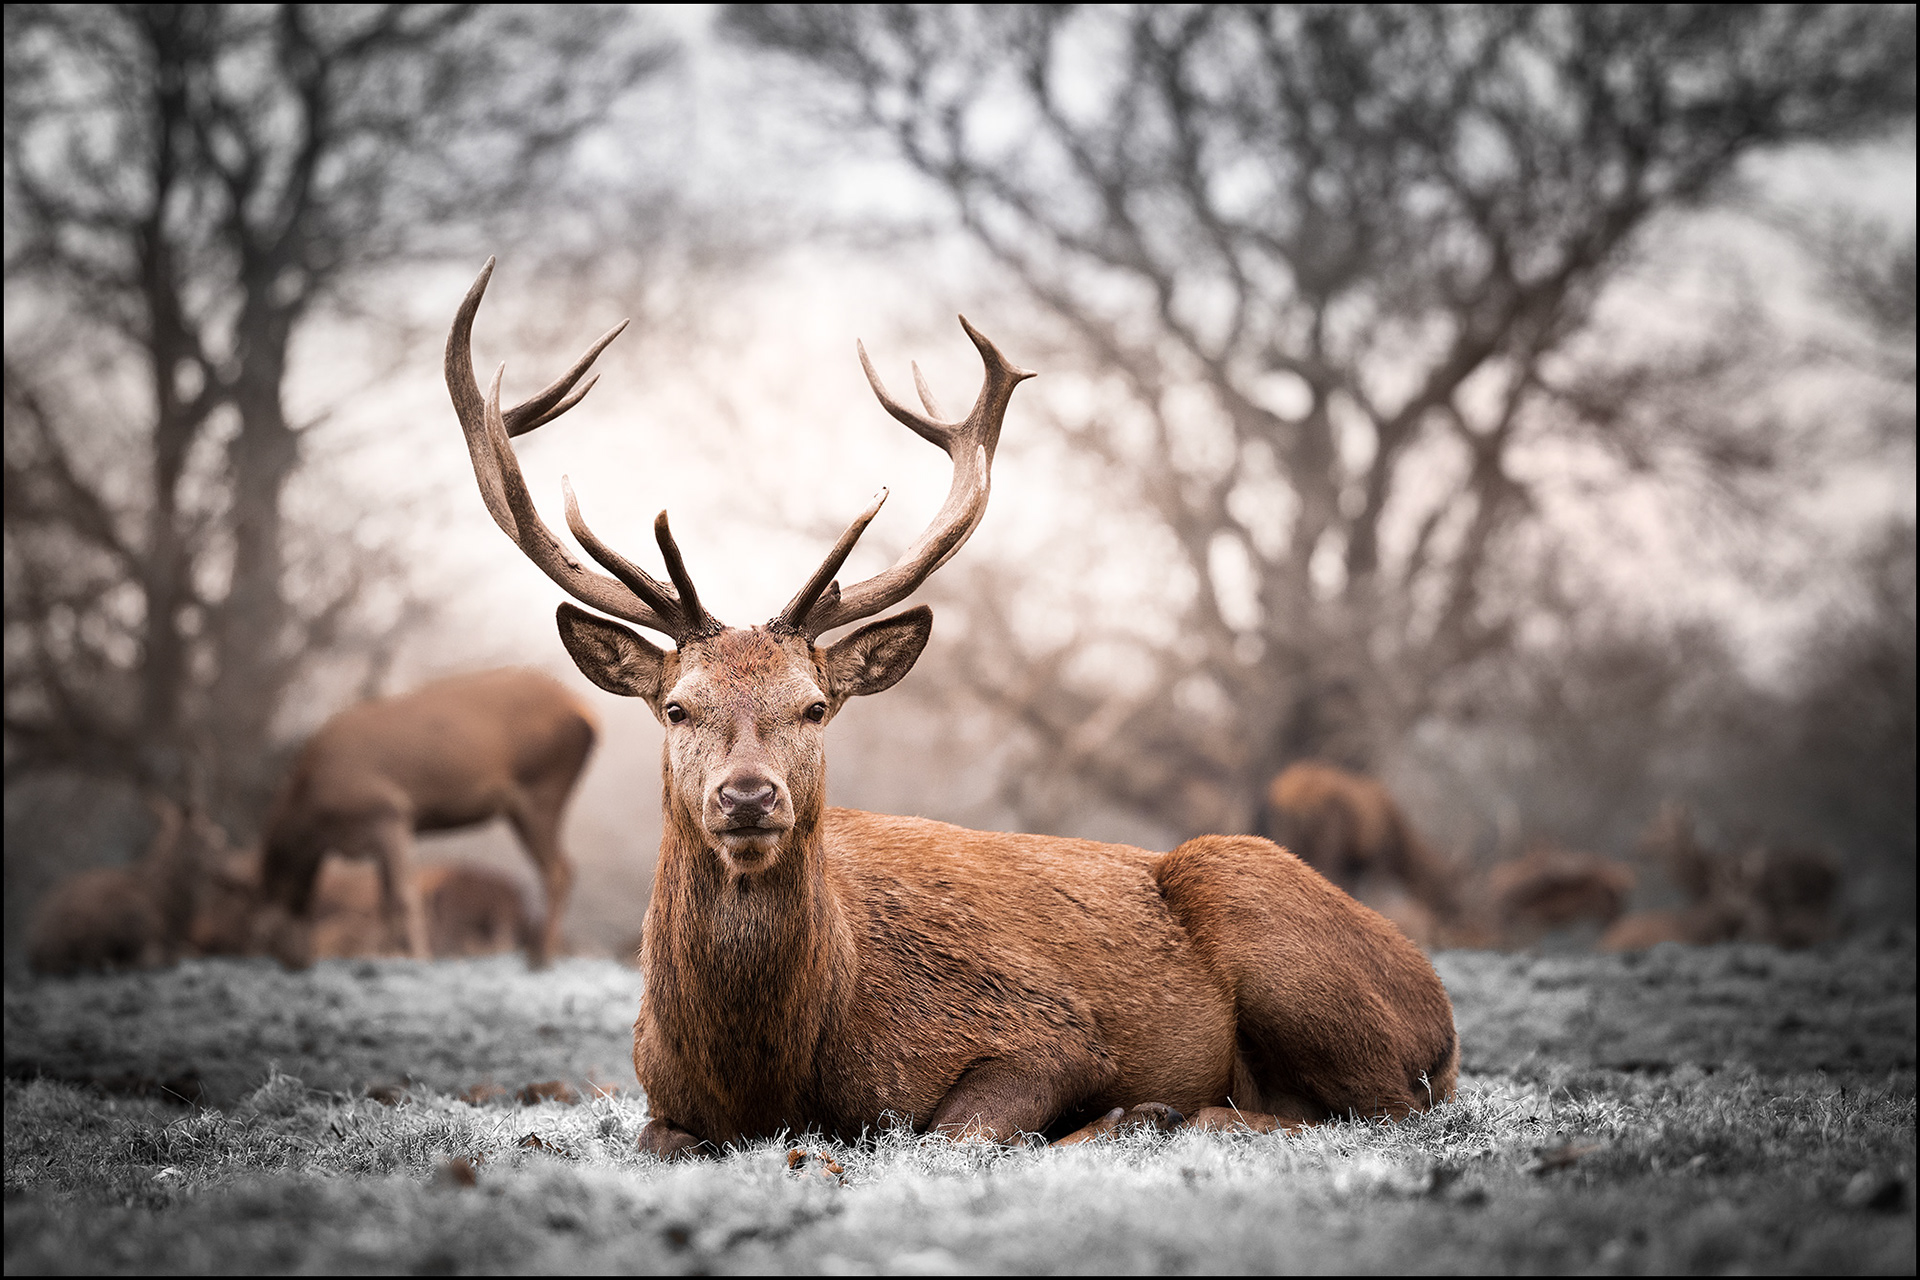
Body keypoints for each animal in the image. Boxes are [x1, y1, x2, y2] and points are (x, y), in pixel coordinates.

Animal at [253, 667, 596, 968]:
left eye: (269, 936)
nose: (296, 962)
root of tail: (590, 718)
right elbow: (384, 896)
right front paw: (385, 956)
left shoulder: (388, 812)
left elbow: (403, 895)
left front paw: (416, 957)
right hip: (527, 803)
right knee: (562, 867)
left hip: (543, 787)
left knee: (558, 871)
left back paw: (541, 958)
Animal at [446, 258, 1457, 1158]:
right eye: (677, 708)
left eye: (815, 707)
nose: (748, 796)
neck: (771, 1077)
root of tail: (1438, 1009)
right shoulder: (659, 1092)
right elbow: (658, 1141)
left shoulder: (1046, 1029)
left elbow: (950, 1129)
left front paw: (1119, 1114)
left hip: (1271, 920)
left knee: (1376, 1109)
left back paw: (1164, 1115)